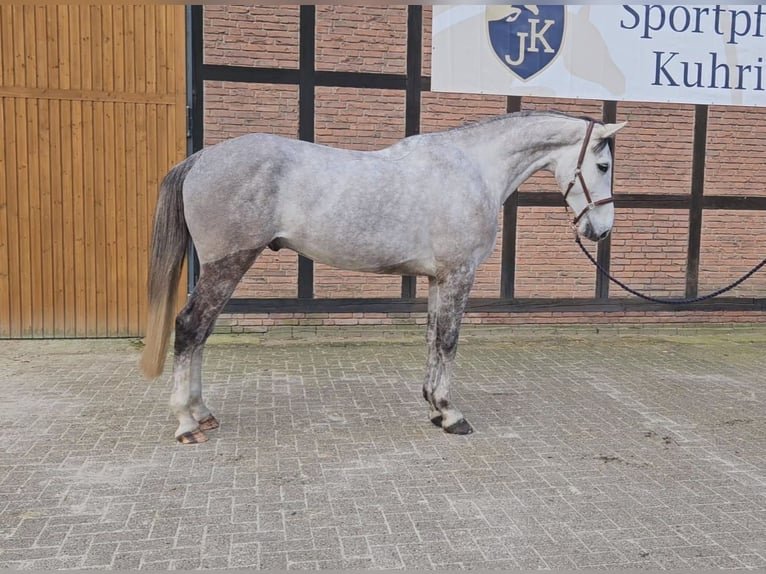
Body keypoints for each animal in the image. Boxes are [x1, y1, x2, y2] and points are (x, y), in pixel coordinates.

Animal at [141, 112, 628, 446]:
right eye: (604, 165)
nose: (601, 231)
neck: (473, 169)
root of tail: (203, 157)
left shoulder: (437, 279)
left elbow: (432, 339)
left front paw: (433, 406)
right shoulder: (459, 275)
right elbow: (448, 341)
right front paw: (451, 414)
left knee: (202, 333)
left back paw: (202, 412)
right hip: (228, 264)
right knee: (189, 328)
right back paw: (186, 423)